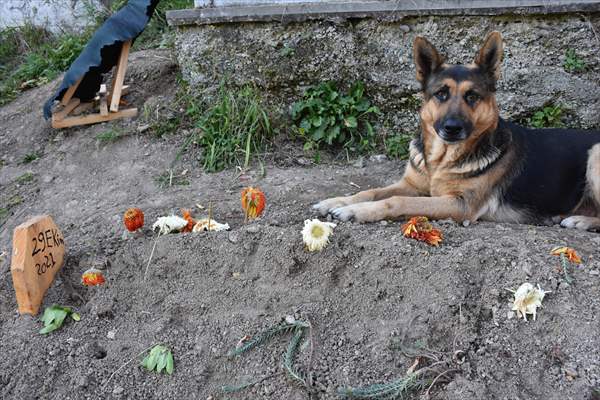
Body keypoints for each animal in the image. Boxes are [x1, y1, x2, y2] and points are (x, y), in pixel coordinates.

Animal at [312, 32, 600, 231]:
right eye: (441, 93)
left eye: (472, 96)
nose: (452, 128)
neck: (441, 160)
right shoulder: (411, 185)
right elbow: (371, 191)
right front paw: (338, 201)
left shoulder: (460, 204)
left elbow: (397, 200)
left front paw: (356, 211)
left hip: (596, 155)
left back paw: (580, 221)